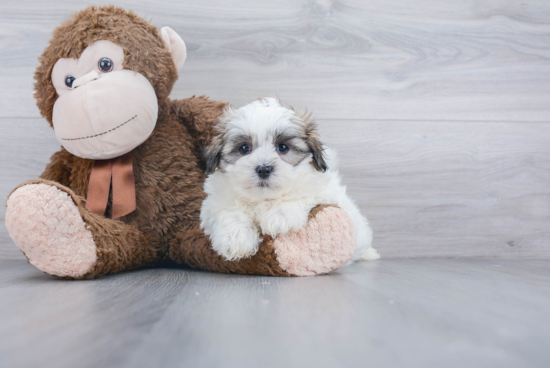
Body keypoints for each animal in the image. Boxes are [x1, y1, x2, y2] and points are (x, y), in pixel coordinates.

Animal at [201, 98, 382, 264]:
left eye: (283, 147)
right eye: (244, 148)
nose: (264, 169)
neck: (263, 199)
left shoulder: (323, 191)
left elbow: (298, 197)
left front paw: (279, 216)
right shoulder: (214, 205)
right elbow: (230, 213)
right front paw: (235, 239)